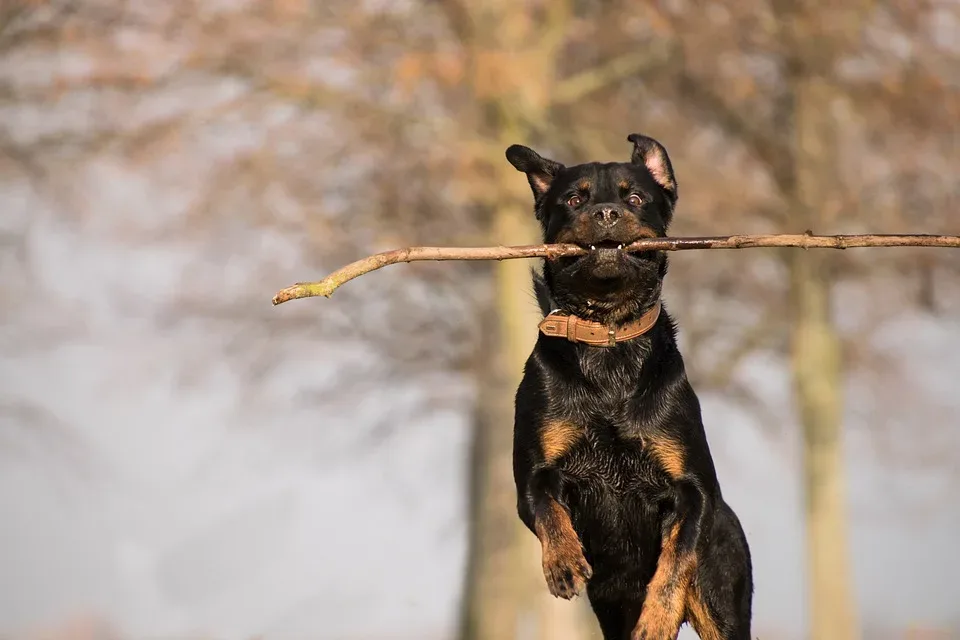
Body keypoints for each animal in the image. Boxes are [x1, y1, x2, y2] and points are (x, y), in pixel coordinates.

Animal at [506, 135, 752, 640]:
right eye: (574, 199)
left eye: (635, 198)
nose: (605, 212)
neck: (610, 337)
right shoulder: (532, 473)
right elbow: (545, 505)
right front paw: (563, 562)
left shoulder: (693, 490)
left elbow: (676, 559)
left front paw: (657, 619)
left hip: (725, 600)